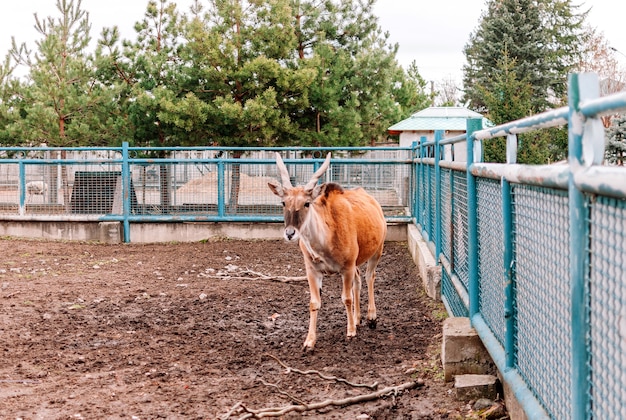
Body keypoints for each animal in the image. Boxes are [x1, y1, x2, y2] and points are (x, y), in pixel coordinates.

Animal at [266, 153, 386, 350]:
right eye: (283, 202)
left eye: (307, 203)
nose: (290, 233)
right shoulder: (313, 271)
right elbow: (314, 303)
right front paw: (309, 341)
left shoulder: (346, 268)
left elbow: (346, 298)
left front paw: (350, 332)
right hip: (356, 263)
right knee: (359, 280)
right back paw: (358, 318)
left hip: (377, 250)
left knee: (370, 277)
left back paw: (371, 317)